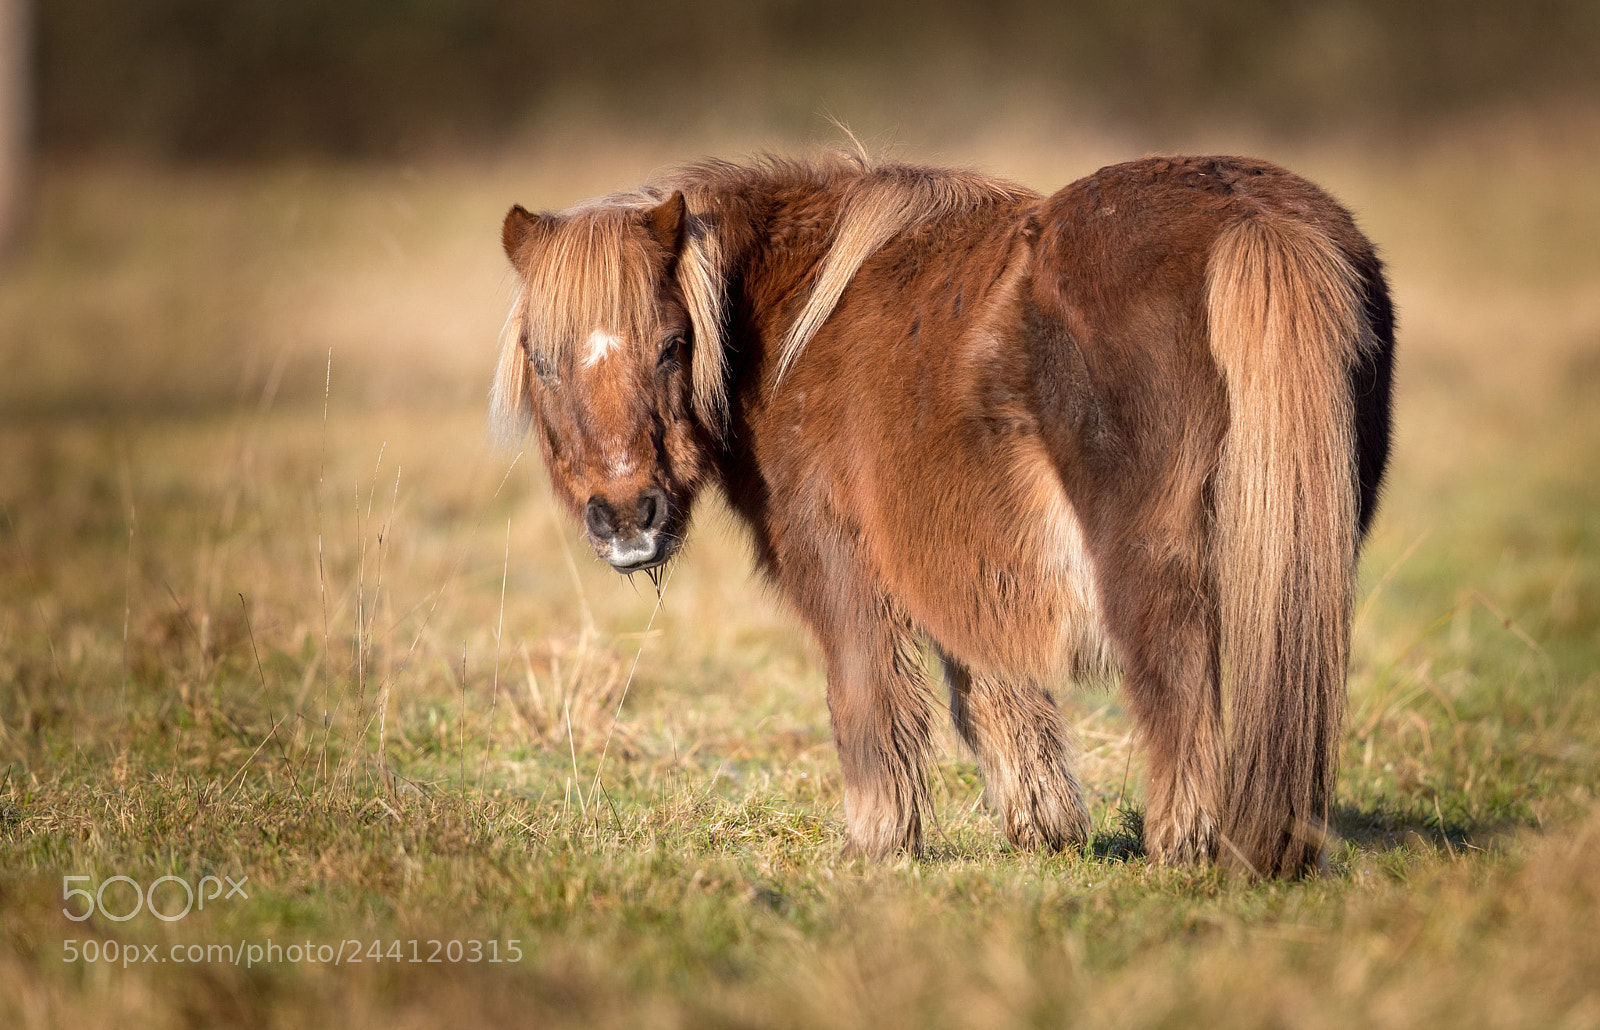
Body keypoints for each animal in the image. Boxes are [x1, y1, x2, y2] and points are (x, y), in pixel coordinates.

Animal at [491, 153, 1395, 877]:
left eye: (672, 345)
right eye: (544, 359)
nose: (627, 518)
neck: (791, 329)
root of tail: (1250, 216)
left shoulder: (843, 565)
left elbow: (869, 700)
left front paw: (878, 844)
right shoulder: (963, 566)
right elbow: (995, 694)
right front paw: (1044, 828)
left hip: (1150, 566)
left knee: (1176, 689)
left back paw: (1185, 850)